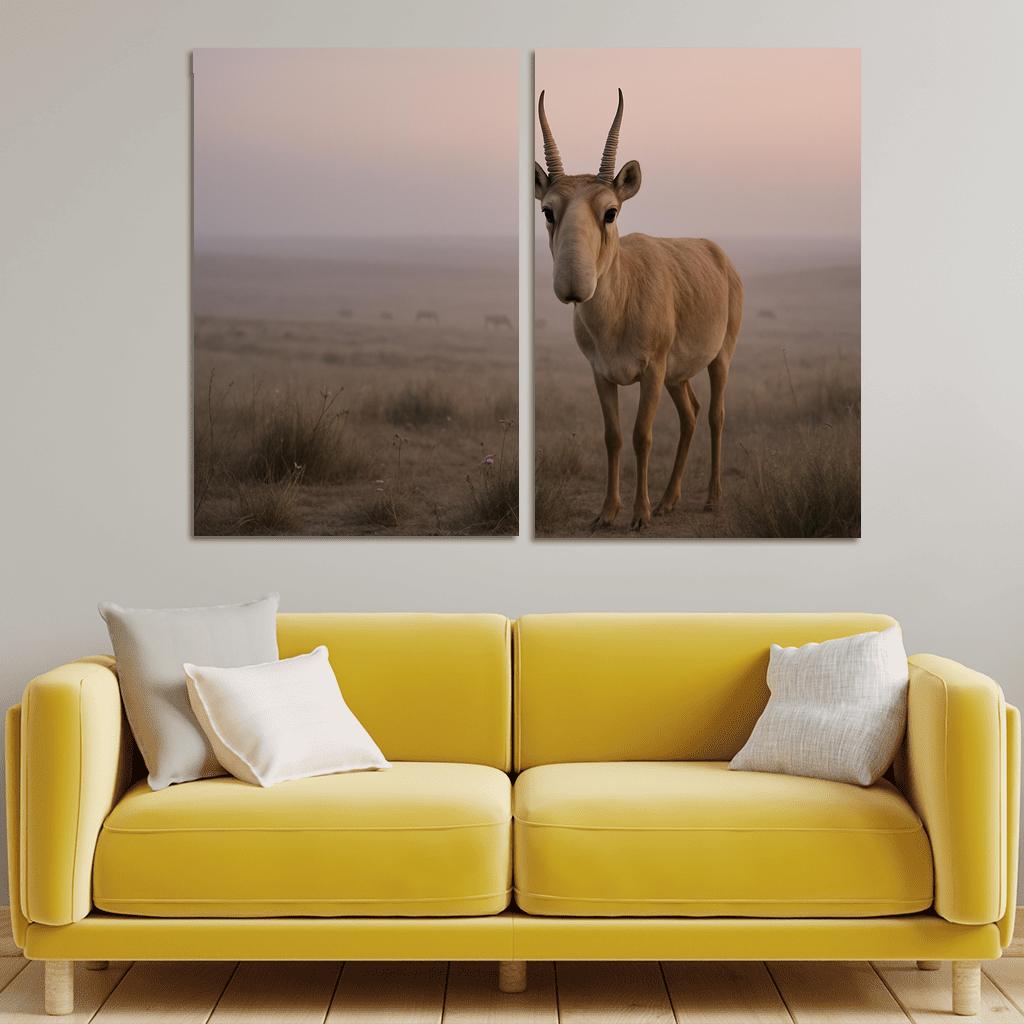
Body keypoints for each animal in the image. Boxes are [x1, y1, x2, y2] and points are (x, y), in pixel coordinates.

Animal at [536, 90, 743, 530]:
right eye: (548, 210)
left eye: (610, 211)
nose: (574, 285)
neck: (618, 310)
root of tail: (716, 254)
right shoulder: (601, 374)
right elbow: (613, 437)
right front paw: (607, 512)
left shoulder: (651, 372)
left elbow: (641, 436)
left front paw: (639, 514)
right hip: (677, 377)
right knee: (690, 414)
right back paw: (669, 500)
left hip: (718, 359)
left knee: (715, 415)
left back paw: (711, 499)